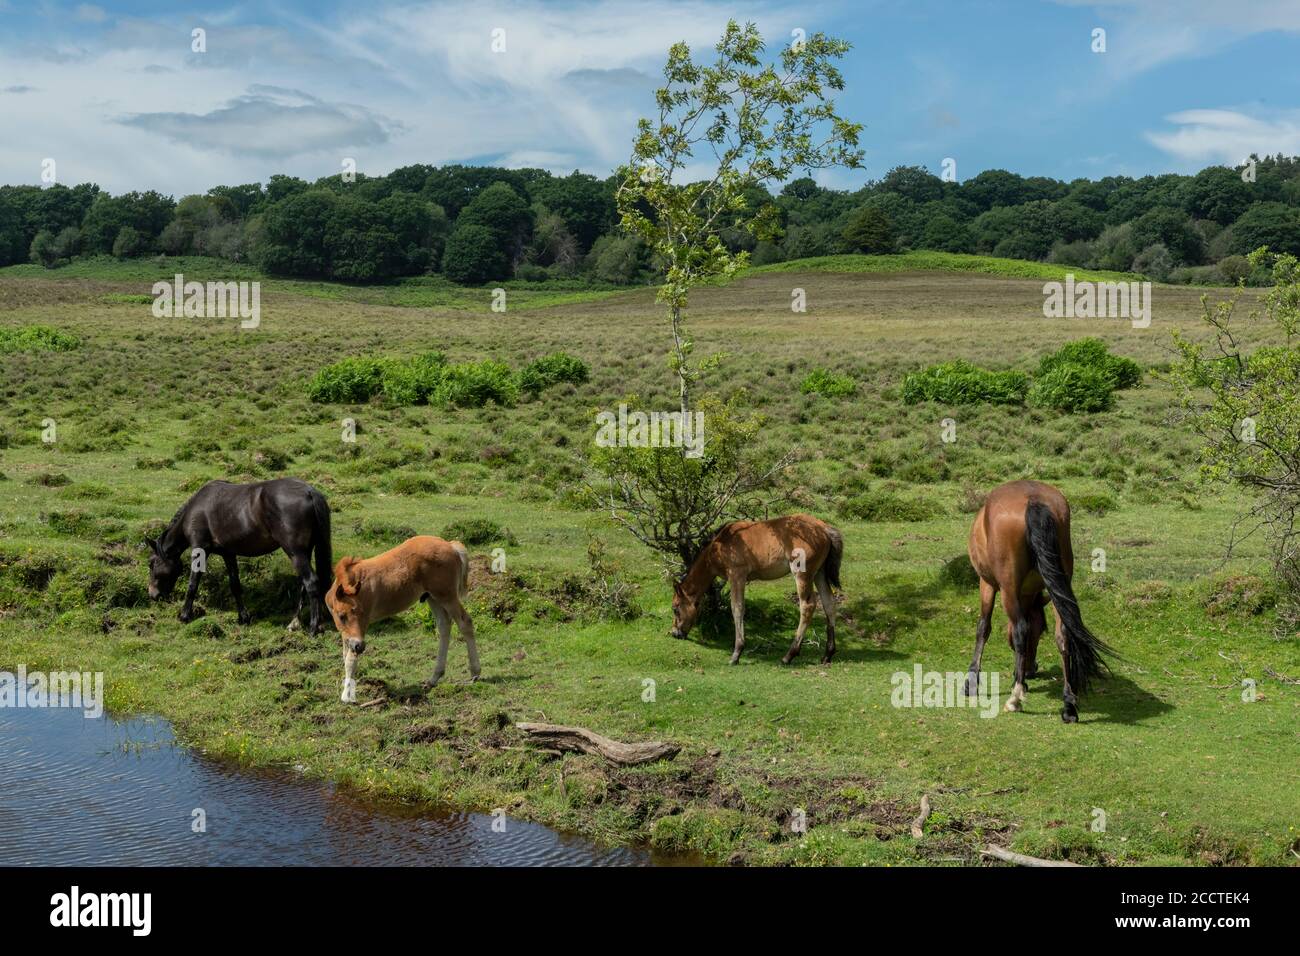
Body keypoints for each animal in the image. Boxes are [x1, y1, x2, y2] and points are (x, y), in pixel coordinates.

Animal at [146, 478, 335, 634]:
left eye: (151, 563)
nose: (153, 594)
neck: (196, 508)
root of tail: (309, 492)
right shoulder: (228, 553)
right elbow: (235, 585)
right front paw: (243, 617)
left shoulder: (200, 549)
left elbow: (193, 584)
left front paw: (184, 615)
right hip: (305, 552)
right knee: (304, 584)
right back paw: (295, 623)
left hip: (296, 552)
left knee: (311, 582)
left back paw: (313, 628)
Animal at [670, 515, 842, 665]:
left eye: (675, 608)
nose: (674, 633)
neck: (721, 544)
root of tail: (824, 528)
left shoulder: (737, 575)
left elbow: (737, 608)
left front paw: (736, 653)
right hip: (819, 573)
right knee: (829, 603)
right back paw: (827, 654)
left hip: (802, 574)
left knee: (807, 606)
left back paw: (788, 656)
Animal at [972, 481, 1112, 723]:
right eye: (1038, 634)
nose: (1031, 668)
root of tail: (1033, 499)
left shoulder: (987, 584)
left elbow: (984, 627)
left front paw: (971, 681)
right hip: (1058, 585)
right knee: (1063, 635)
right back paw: (1069, 706)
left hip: (1008, 588)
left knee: (1019, 628)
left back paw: (1014, 700)